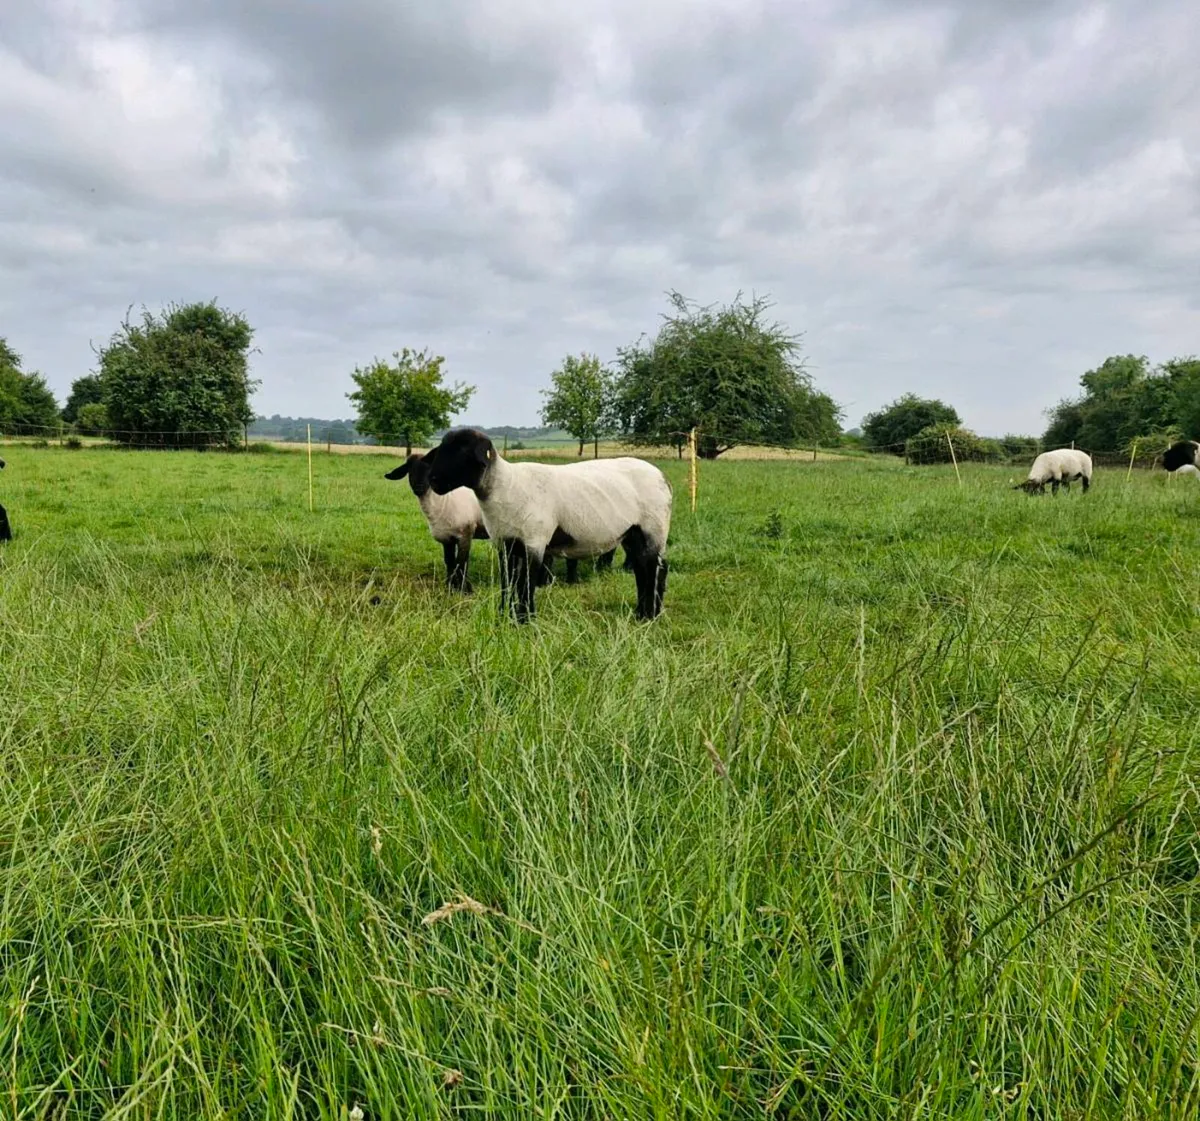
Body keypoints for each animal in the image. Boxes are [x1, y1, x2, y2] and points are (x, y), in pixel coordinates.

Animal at [425, 427, 672, 623]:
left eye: (461, 450)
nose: (433, 480)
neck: (504, 486)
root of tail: (662, 477)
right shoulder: (505, 543)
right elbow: (508, 582)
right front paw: (504, 616)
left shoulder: (535, 541)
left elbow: (526, 584)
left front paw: (525, 619)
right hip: (632, 534)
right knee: (643, 568)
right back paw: (643, 613)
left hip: (654, 527)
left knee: (654, 569)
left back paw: (650, 615)